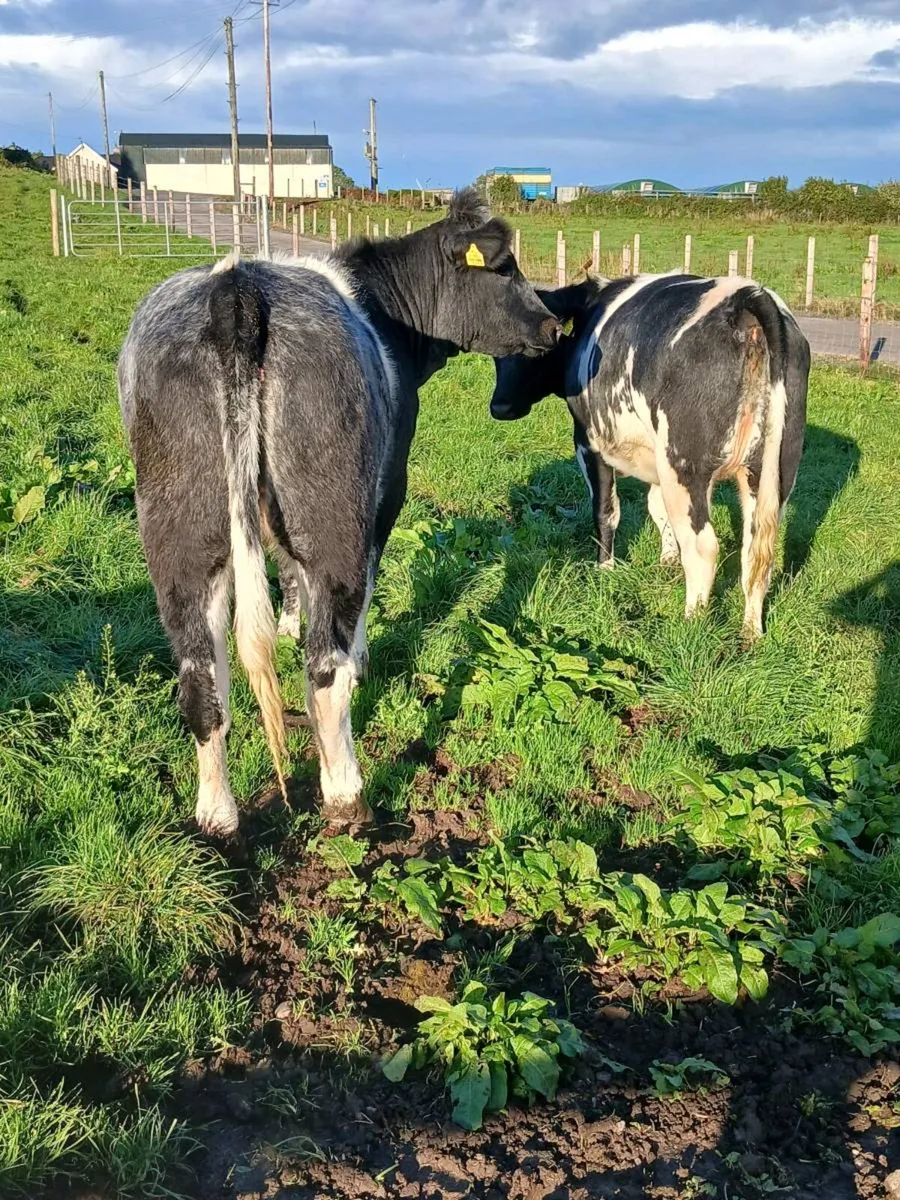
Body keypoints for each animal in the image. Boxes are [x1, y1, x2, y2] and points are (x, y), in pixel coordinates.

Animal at [117, 190, 561, 837]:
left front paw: (286, 624)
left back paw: (218, 817)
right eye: (503, 268)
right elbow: (361, 594)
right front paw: (361, 658)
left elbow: (288, 578)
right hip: (334, 514)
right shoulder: (387, 488)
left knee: (201, 677)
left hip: (179, 531)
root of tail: (235, 285)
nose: (555, 325)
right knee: (323, 670)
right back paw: (347, 795)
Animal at [490, 273, 810, 641]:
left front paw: (604, 571)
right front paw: (667, 561)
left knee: (703, 547)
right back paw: (751, 633)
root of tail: (748, 295)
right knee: (756, 550)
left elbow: (606, 512)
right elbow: (657, 509)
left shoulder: (589, 442)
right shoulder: (657, 460)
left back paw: (691, 624)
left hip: (684, 465)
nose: (499, 407)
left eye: (535, 348)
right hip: (774, 469)